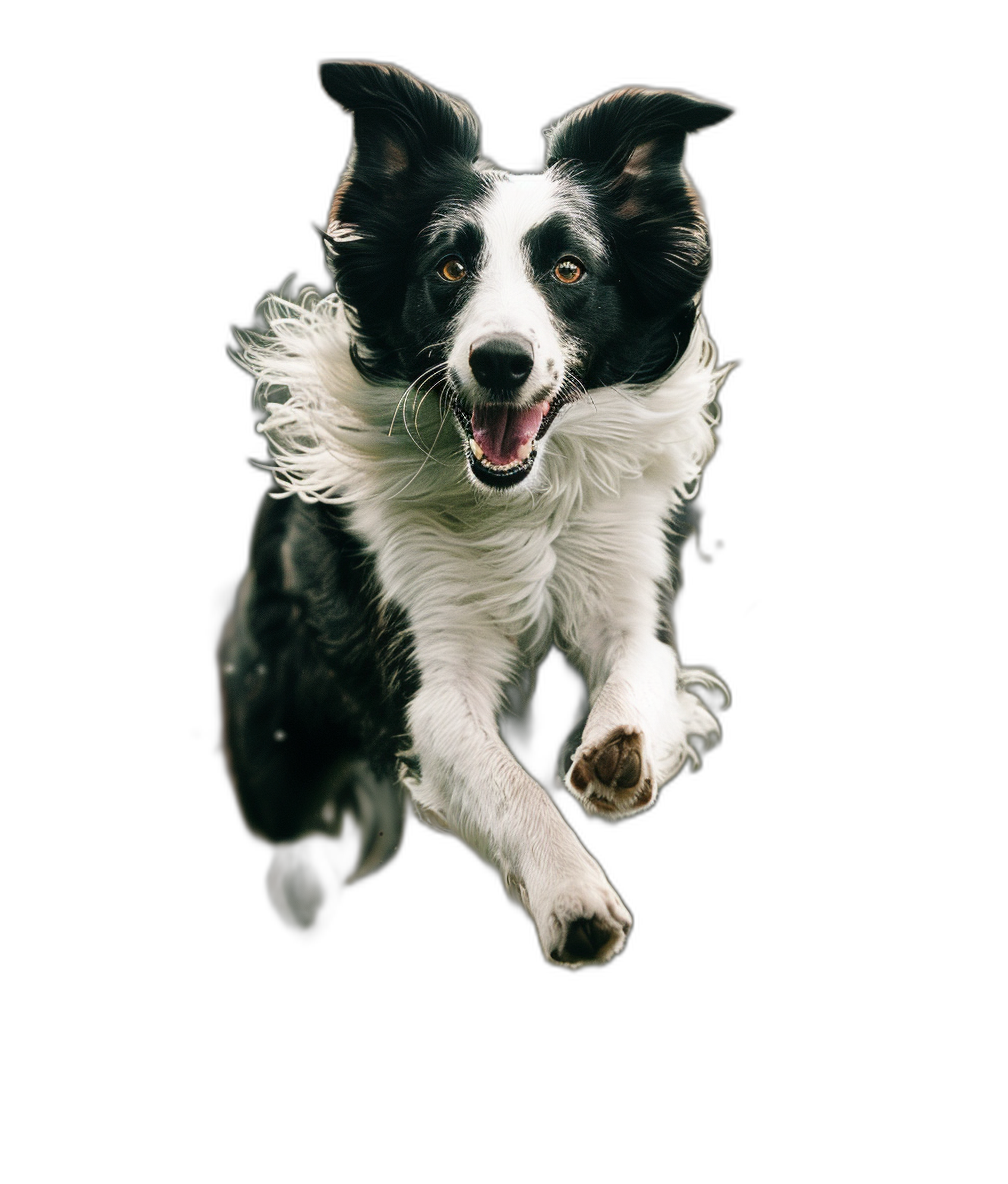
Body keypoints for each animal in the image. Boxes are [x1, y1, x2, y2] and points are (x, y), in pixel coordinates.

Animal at [219, 60, 734, 966]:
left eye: (569, 271)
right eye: (450, 270)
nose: (500, 361)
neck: (524, 505)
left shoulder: (628, 590)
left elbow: (640, 670)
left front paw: (616, 754)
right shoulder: (430, 677)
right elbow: (508, 785)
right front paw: (573, 898)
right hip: (276, 753)